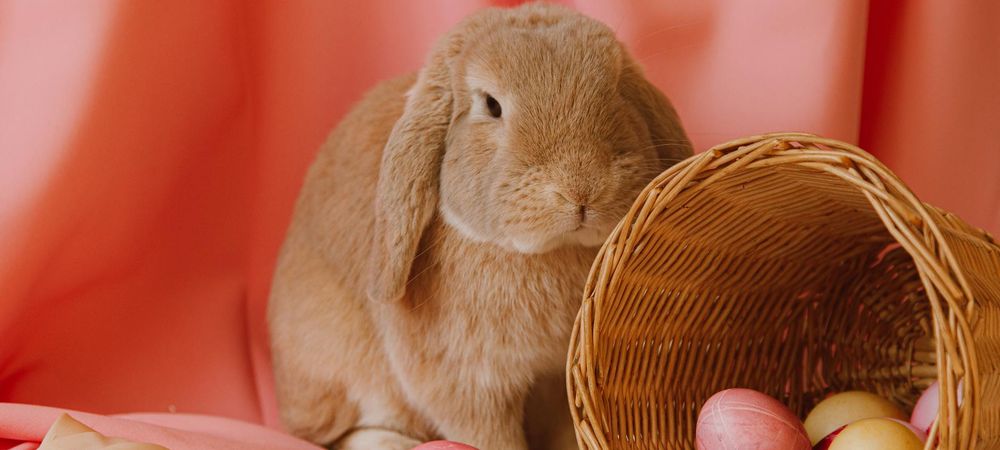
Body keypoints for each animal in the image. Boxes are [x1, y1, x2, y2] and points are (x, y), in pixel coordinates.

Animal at [267, 3, 691, 450]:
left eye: (616, 88)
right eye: (491, 105)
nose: (582, 188)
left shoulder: (557, 380)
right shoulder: (467, 383)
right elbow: (488, 434)